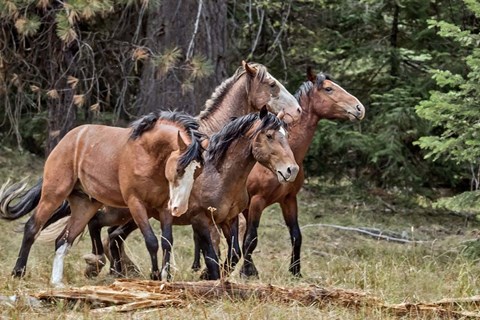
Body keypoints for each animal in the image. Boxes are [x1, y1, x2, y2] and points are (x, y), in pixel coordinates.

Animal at [0, 111, 203, 286]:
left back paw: (57, 282)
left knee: (63, 239)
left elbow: (167, 242)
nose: (180, 208)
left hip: (85, 205)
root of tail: (67, 139)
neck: (148, 154)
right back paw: (18, 272)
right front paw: (154, 276)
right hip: (54, 195)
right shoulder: (136, 204)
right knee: (32, 227)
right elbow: (151, 241)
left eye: (198, 172)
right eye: (179, 169)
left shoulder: (164, 207)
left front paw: (166, 278)